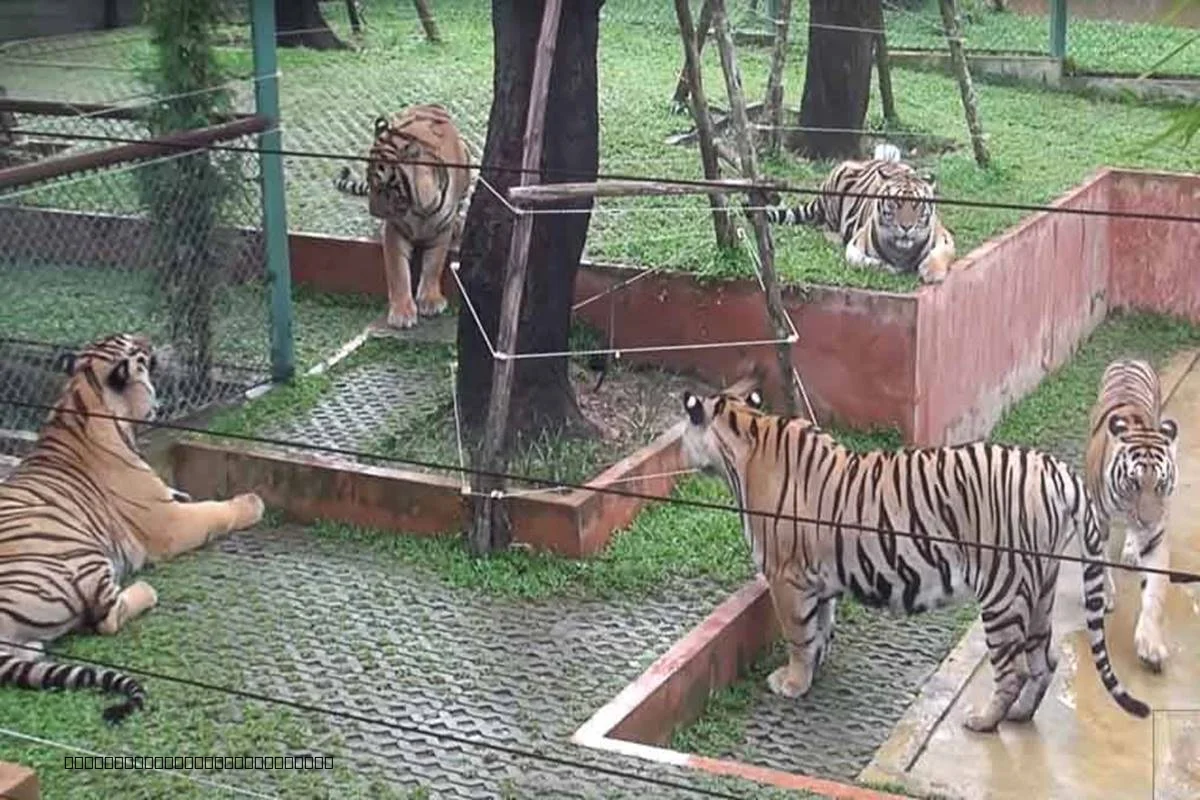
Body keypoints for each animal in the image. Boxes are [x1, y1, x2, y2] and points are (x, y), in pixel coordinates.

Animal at [0, 333, 265, 723]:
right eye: (135, 347)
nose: (149, 340)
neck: (79, 399)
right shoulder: (169, 522)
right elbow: (213, 512)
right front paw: (252, 502)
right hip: (78, 555)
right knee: (107, 618)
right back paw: (147, 590)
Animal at [333, 103, 472, 330]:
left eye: (385, 187)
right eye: (370, 183)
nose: (374, 212)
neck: (420, 208)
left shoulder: (442, 229)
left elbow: (434, 264)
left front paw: (430, 300)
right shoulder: (394, 230)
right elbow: (397, 271)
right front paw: (402, 312)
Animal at [679, 387, 1149, 733]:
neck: (746, 431)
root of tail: (1057, 471)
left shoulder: (786, 577)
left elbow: (798, 634)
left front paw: (792, 683)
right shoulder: (817, 578)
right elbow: (820, 627)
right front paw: (815, 668)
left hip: (1003, 591)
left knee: (1012, 668)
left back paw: (983, 721)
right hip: (1041, 588)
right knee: (1044, 661)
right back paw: (1019, 716)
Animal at [763, 143, 956, 284]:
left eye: (917, 205)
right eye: (895, 203)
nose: (906, 227)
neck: (903, 251)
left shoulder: (945, 237)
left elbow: (943, 252)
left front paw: (931, 272)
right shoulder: (854, 247)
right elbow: (868, 263)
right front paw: (892, 268)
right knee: (826, 226)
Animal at [1082, 358, 1179, 672]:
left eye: (1160, 484)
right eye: (1133, 483)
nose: (1147, 520)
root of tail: (1129, 358)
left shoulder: (1156, 535)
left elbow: (1154, 595)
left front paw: (1150, 645)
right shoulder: (1097, 522)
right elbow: (1100, 561)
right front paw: (1106, 596)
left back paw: (1129, 551)